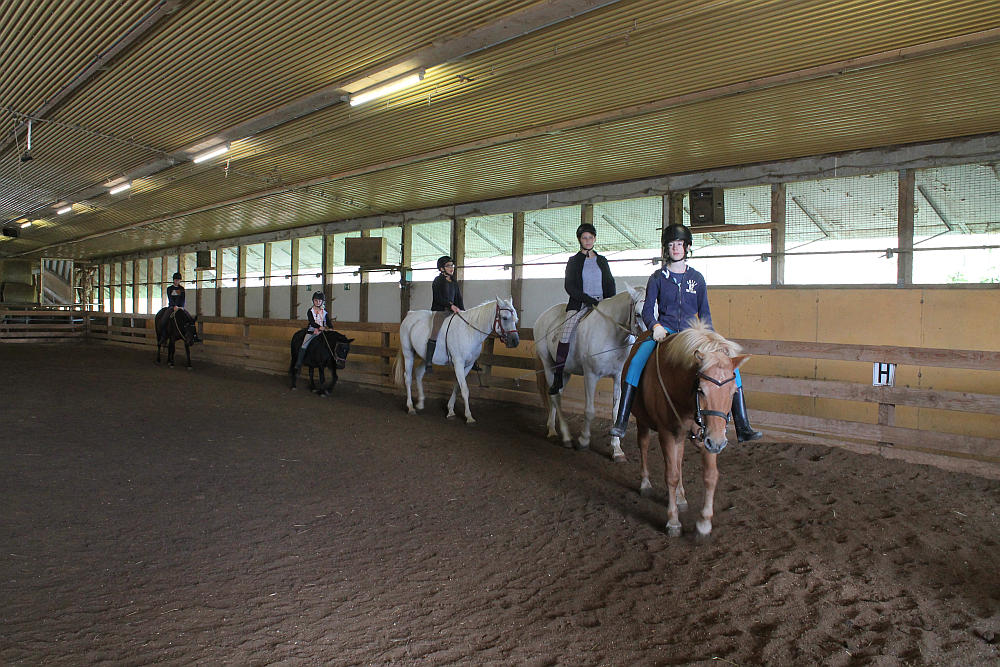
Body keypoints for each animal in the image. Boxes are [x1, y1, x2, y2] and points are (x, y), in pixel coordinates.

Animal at [533, 285, 646, 458]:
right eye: (638, 314)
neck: (611, 333)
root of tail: (543, 316)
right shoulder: (591, 375)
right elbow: (590, 410)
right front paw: (584, 441)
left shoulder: (617, 377)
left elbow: (615, 411)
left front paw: (617, 449)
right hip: (548, 365)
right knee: (555, 396)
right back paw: (565, 437)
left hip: (564, 372)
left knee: (556, 394)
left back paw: (552, 428)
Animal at [625, 319, 748, 537]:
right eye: (702, 390)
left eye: (734, 391)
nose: (718, 443)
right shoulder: (667, 434)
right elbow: (671, 476)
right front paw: (673, 522)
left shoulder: (708, 435)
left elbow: (710, 476)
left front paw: (704, 522)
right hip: (643, 421)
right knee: (644, 446)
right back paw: (645, 484)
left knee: (679, 460)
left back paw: (681, 497)